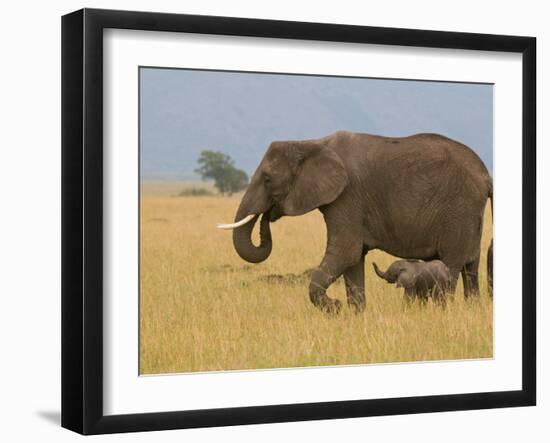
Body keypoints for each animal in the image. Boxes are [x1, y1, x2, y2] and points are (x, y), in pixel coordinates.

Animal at [218, 132, 494, 316]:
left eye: (267, 179)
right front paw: (355, 314)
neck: (312, 143)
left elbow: (346, 253)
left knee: (452, 265)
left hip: (459, 210)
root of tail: (486, 175)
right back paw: (472, 310)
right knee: (470, 267)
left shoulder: (347, 197)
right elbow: (353, 260)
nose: (268, 214)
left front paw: (336, 308)